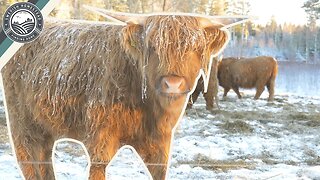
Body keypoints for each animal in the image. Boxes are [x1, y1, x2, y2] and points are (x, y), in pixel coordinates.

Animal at [0, 13, 230, 179]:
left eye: (196, 48)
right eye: (152, 48)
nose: (172, 84)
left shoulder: (160, 142)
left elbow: (160, 170)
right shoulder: (101, 134)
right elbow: (98, 168)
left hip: (45, 126)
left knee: (44, 159)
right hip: (22, 122)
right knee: (27, 158)